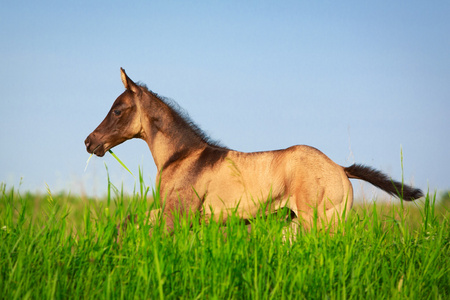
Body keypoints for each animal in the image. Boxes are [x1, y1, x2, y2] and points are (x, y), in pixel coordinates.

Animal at [83, 69, 422, 233]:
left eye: (117, 110)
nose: (89, 141)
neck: (183, 157)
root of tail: (341, 168)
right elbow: (128, 220)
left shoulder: (174, 216)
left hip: (322, 224)